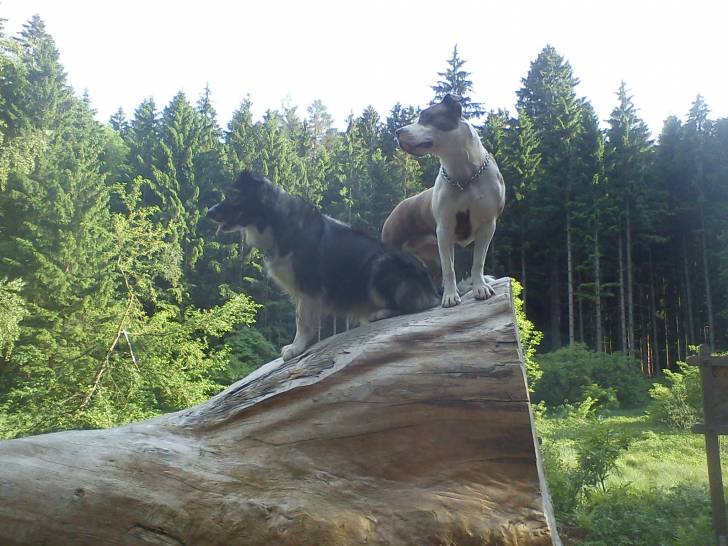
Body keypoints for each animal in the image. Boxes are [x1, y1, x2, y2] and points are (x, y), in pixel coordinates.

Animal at [208, 169, 440, 356]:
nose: (209, 212)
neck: (276, 222)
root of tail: (431, 284)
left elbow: (302, 320)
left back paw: (380, 313)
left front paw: (296, 347)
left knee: (412, 306)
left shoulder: (308, 286)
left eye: (234, 195)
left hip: (379, 265)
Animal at [382, 93, 506, 306]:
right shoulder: (444, 230)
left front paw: (480, 288)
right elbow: (450, 268)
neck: (464, 175)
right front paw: (450, 297)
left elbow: (478, 262)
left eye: (425, 117)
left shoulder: (487, 226)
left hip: (431, 255)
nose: (398, 131)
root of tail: (397, 207)